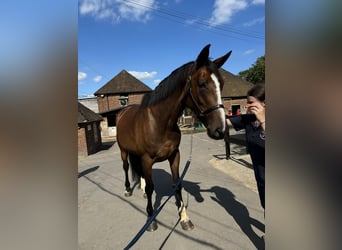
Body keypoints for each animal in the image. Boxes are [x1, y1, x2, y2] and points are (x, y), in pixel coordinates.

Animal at [116, 44, 231, 231]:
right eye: (202, 84)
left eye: (221, 84)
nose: (220, 130)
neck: (160, 122)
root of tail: (123, 112)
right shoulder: (147, 159)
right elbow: (151, 188)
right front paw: (150, 219)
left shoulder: (174, 155)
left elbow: (177, 185)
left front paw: (184, 218)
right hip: (123, 151)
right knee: (126, 168)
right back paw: (128, 189)